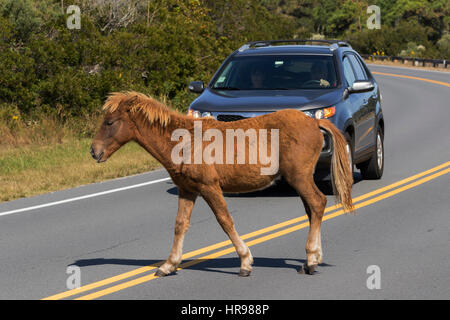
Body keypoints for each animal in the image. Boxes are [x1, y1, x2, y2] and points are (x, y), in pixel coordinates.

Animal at [89, 91, 354, 276]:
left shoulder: (209, 187)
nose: (94, 151)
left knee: (317, 203)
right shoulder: (187, 190)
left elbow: (225, 220)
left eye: (110, 122)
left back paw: (310, 260)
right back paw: (314, 257)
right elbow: (180, 225)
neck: (184, 141)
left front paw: (245, 261)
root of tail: (313, 123)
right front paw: (169, 265)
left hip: (299, 177)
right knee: (312, 209)